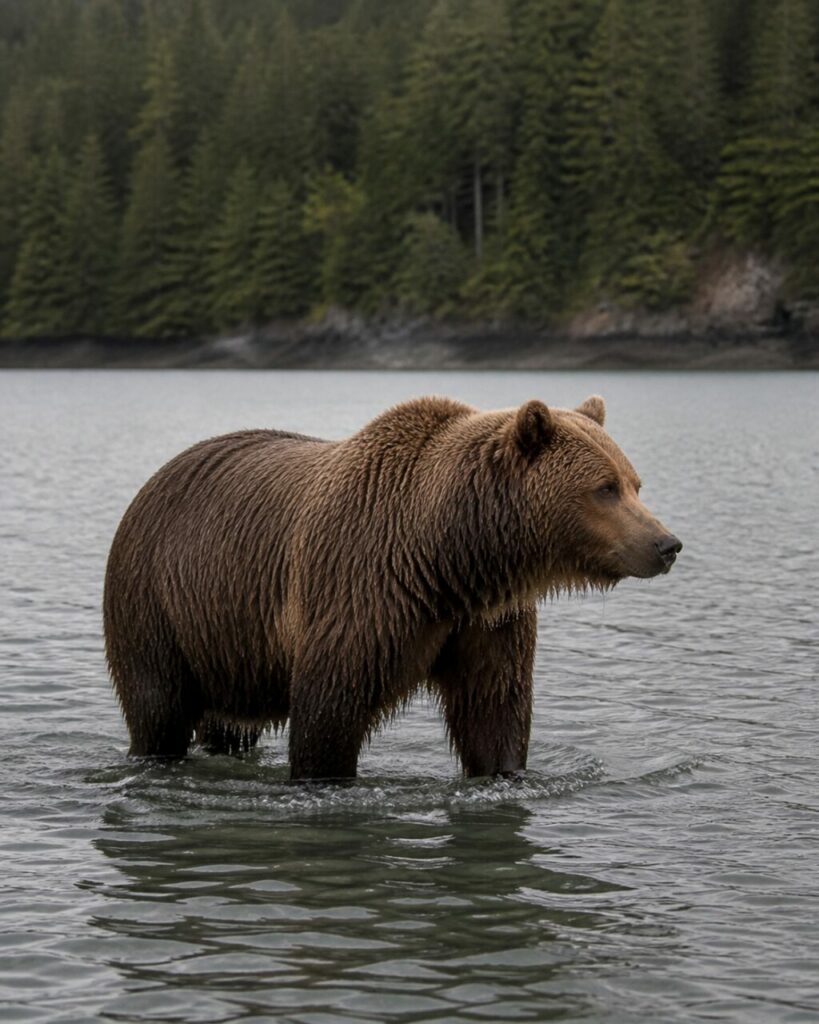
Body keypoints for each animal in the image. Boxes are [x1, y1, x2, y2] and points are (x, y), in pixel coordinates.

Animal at [103, 395, 681, 780]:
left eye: (635, 483)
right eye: (604, 488)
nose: (666, 544)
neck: (448, 555)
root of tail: (156, 478)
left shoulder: (488, 618)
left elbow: (495, 707)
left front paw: (503, 770)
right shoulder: (357, 588)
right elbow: (328, 713)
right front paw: (323, 776)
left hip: (225, 640)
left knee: (226, 723)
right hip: (156, 603)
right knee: (158, 708)